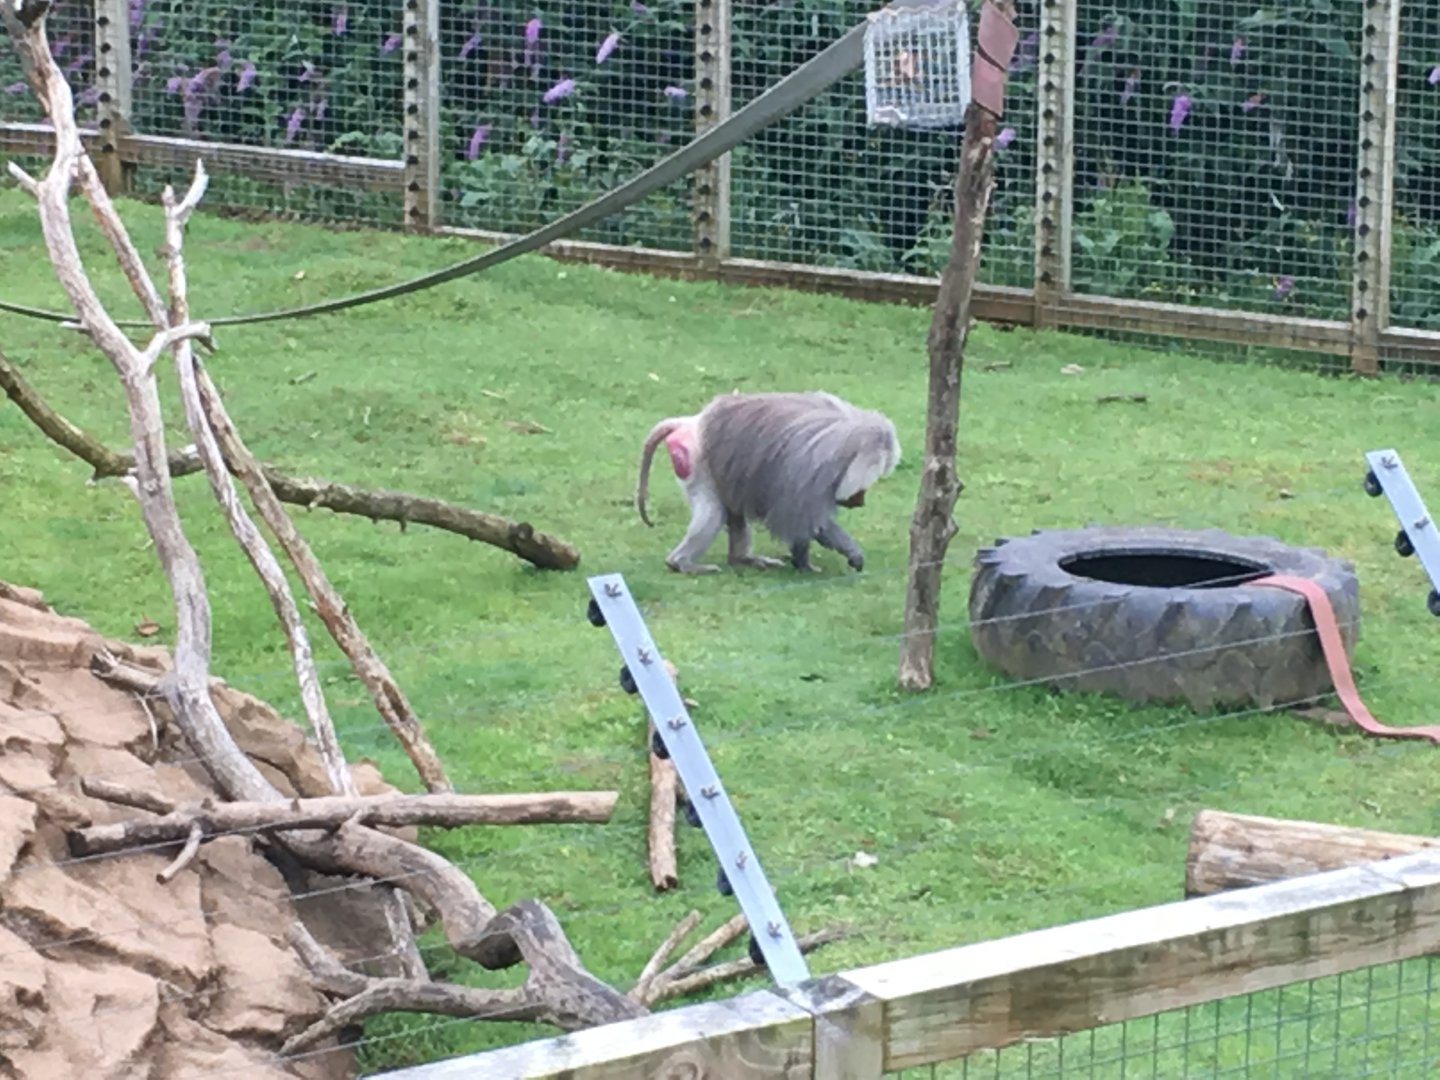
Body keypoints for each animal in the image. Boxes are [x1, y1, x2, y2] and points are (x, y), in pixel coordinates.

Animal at [635, 391, 901, 575]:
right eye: (863, 489)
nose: (860, 502)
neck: (852, 446)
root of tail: (692, 422)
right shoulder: (813, 471)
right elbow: (805, 519)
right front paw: (813, 563)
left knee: (732, 510)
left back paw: (743, 559)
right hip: (695, 461)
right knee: (713, 513)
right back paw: (681, 563)